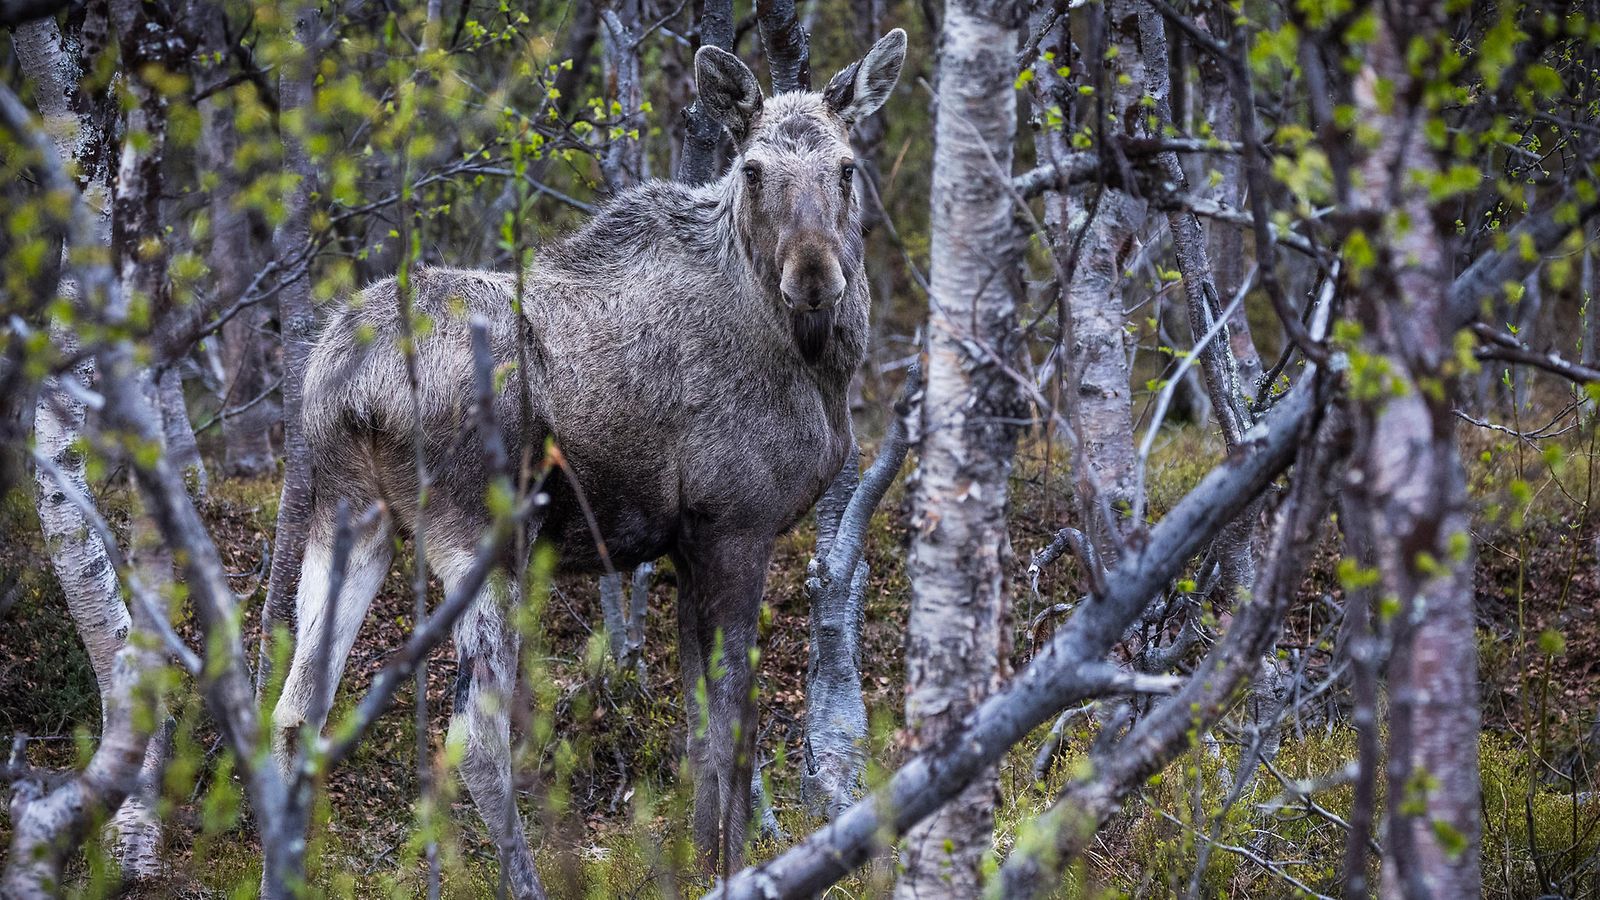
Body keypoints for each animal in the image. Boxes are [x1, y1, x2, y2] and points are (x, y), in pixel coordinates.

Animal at [268, 26, 908, 890]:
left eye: (845, 168)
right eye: (752, 169)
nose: (814, 277)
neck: (815, 368)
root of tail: (351, 387)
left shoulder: (685, 541)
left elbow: (698, 729)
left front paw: (699, 862)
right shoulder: (738, 525)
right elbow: (735, 727)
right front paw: (733, 869)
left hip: (346, 513)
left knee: (296, 708)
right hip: (483, 534)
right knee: (474, 740)